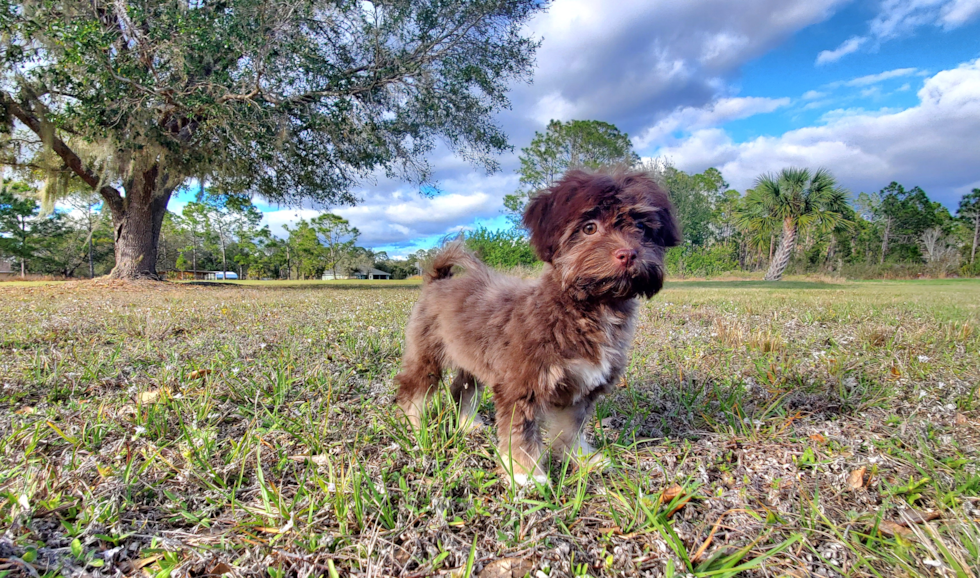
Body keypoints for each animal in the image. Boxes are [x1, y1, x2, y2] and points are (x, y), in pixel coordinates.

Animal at [394, 166, 676, 482]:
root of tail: (438, 280)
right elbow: (521, 434)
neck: (587, 308)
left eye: (641, 227)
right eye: (589, 228)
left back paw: (466, 424)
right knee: (413, 390)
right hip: (427, 353)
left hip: (471, 357)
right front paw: (526, 474)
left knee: (462, 390)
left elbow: (570, 429)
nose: (628, 254)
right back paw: (415, 427)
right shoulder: (522, 385)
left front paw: (582, 459)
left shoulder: (581, 387)